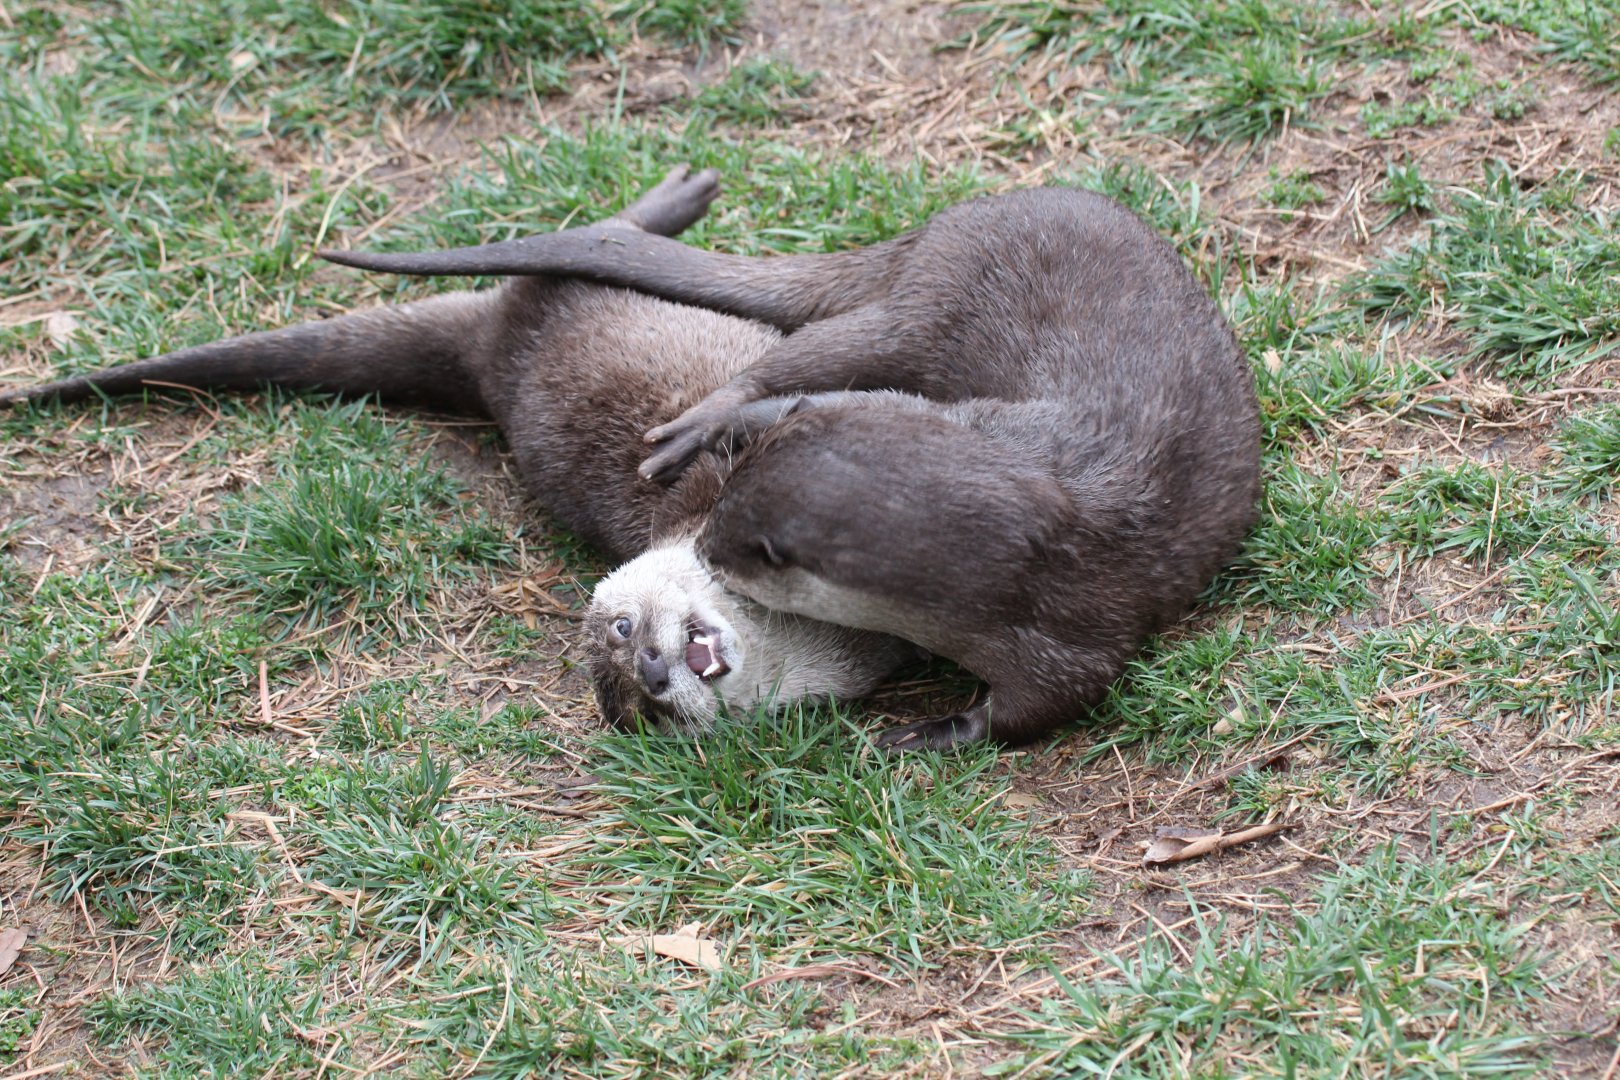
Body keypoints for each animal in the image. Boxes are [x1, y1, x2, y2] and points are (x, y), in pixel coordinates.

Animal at [0, 168, 912, 735]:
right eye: (648, 709)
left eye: (625, 628)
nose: (654, 670)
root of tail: (484, 354)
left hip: (570, 299)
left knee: (591, 237)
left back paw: (678, 195)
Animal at [322, 177, 1263, 750]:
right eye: (646, 705)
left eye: (625, 635)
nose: (654, 669)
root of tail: (937, 230)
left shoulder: (1072, 630)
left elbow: (1038, 710)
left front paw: (929, 734)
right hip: (921, 311)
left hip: (926, 310)